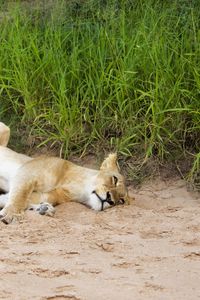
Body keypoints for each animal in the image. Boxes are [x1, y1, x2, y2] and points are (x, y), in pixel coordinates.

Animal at [0, 122, 130, 223]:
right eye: (115, 179)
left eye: (121, 201)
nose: (110, 199)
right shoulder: (28, 172)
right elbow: (20, 195)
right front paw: (11, 214)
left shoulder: (43, 195)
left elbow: (14, 198)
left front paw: (43, 208)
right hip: (5, 128)